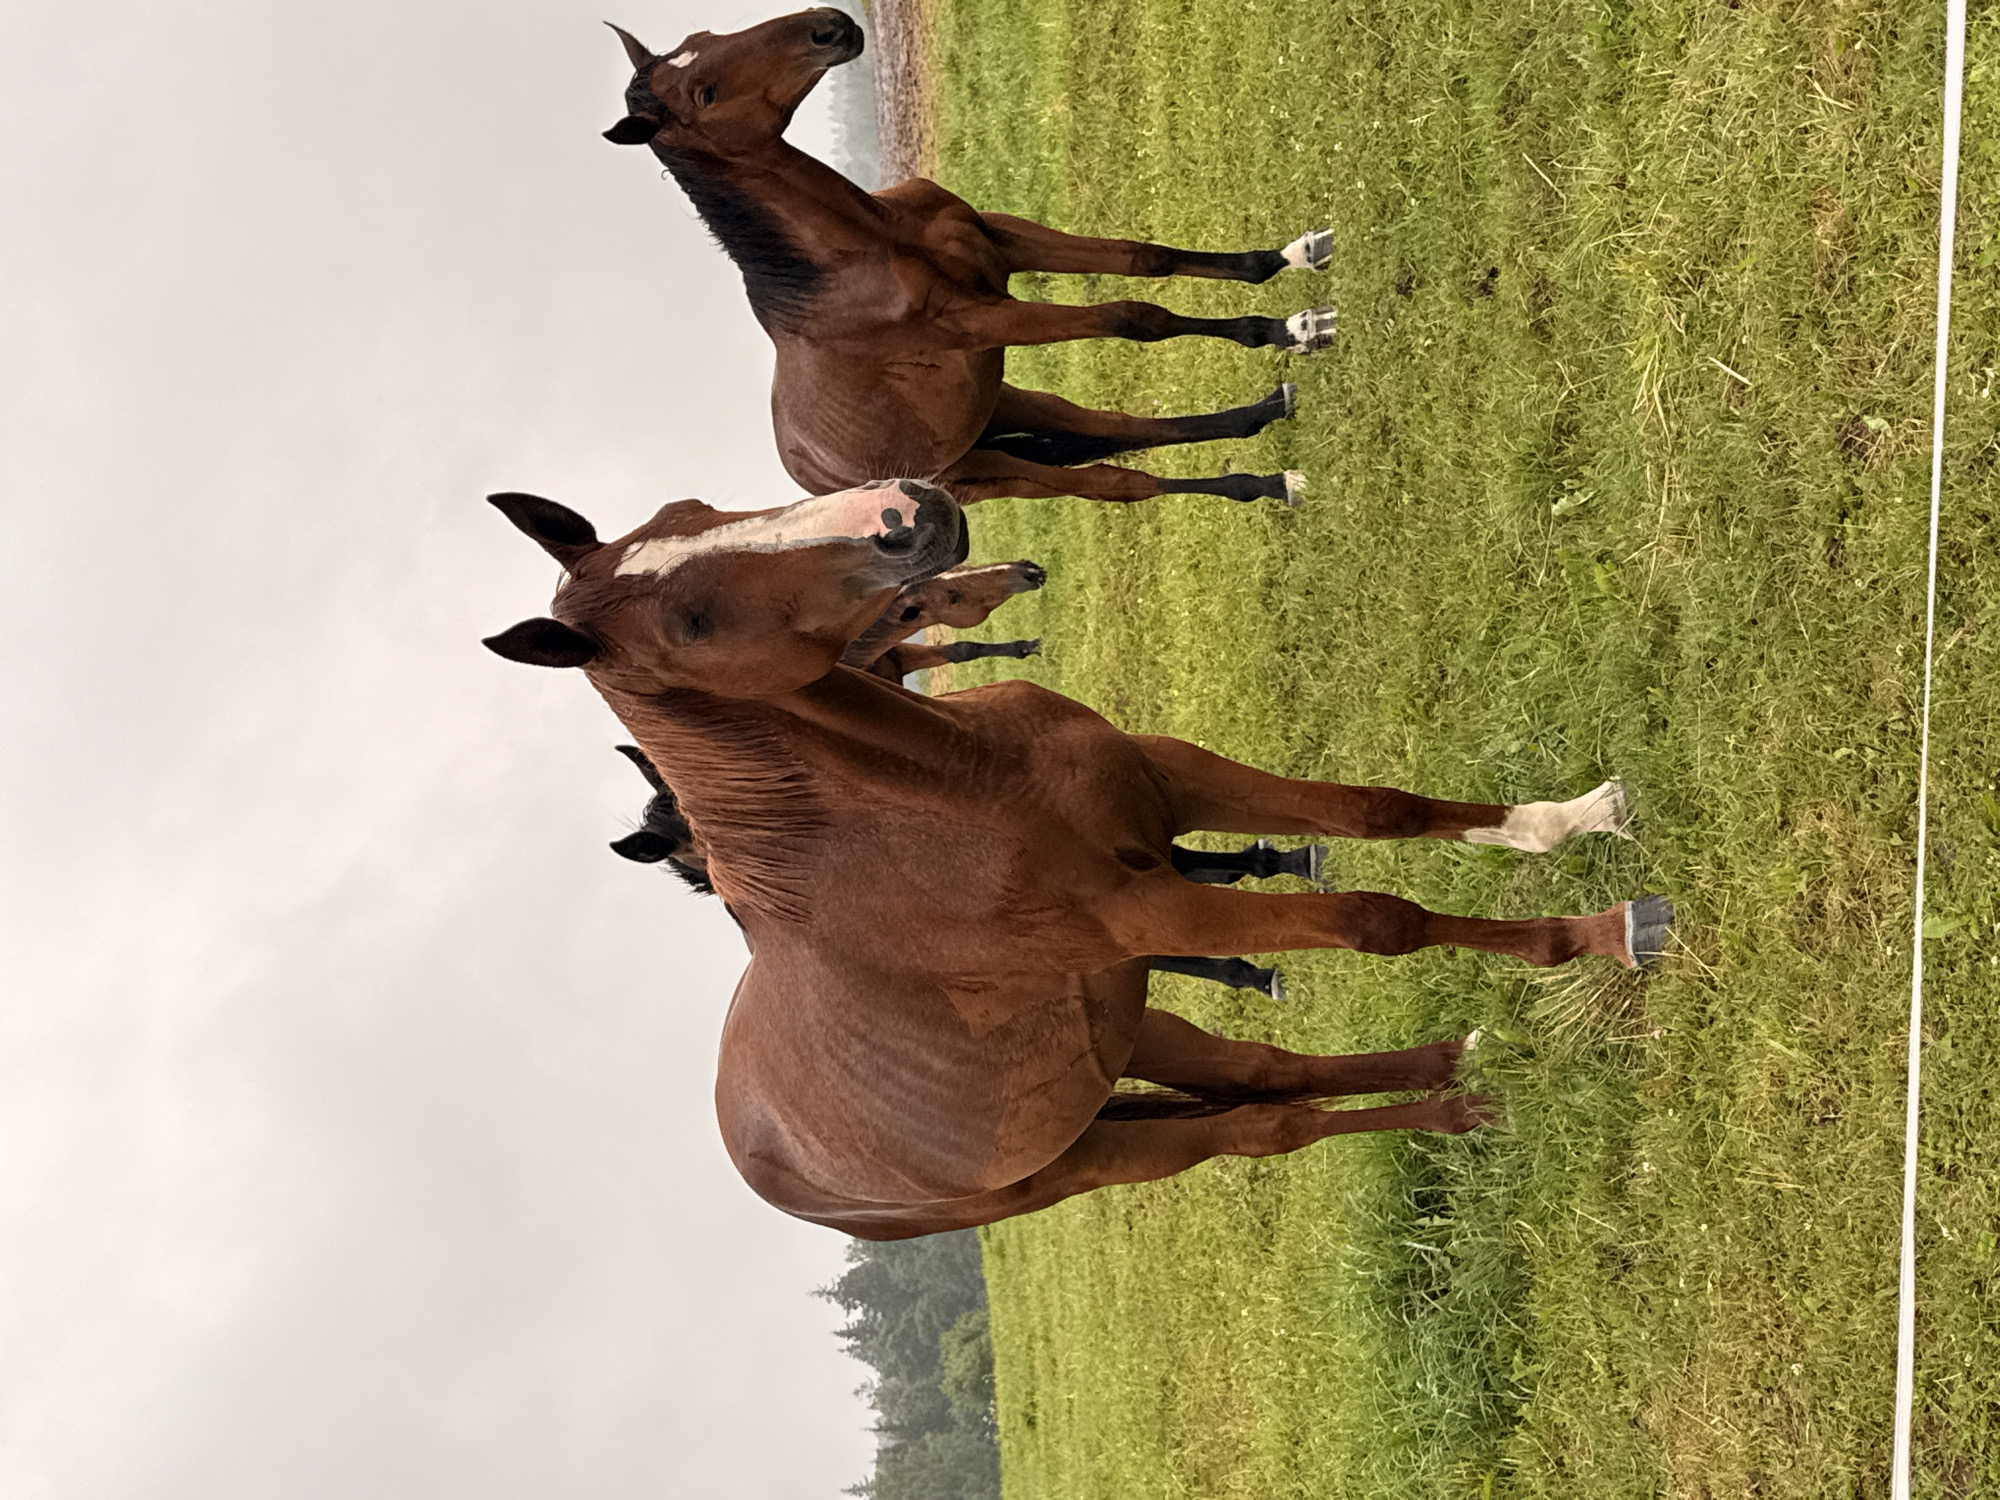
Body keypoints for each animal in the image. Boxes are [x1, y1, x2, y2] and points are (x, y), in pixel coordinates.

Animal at [481, 479, 1673, 1238]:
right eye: (690, 620)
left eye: (694, 517)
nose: (905, 512)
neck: (958, 791)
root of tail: (763, 1158)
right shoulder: (1156, 915)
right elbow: (1381, 921)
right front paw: (1601, 935)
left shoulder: (1170, 785)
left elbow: (1380, 812)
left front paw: (1570, 821)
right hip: (1088, 1154)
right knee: (1267, 1124)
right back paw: (1451, 1098)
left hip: (1124, 1026)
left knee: (1265, 1074)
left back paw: (1452, 1081)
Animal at [599, 8, 1334, 507]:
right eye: (705, 95)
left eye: (706, 37)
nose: (827, 27)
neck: (868, 246)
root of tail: (816, 476)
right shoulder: (986, 317)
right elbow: (1134, 316)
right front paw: (1282, 325)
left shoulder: (1001, 241)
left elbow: (1143, 259)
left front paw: (1290, 286)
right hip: (989, 473)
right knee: (1116, 480)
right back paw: (1270, 481)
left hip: (1008, 405)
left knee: (1117, 426)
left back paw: (1264, 418)